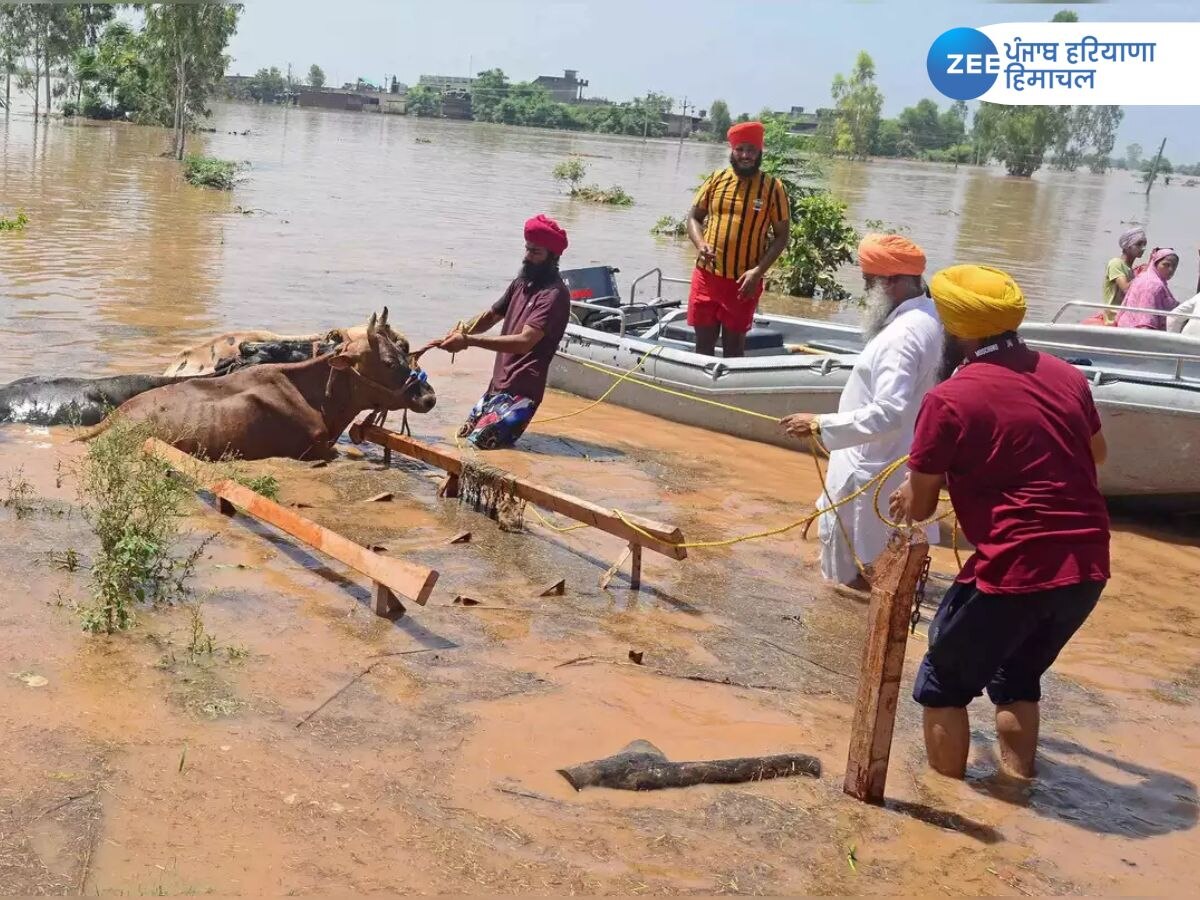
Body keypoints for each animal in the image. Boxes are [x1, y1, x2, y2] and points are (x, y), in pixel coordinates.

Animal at [75, 312, 434, 465]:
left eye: (403, 351)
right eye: (388, 361)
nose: (428, 396)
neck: (318, 398)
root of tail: (114, 419)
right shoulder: (315, 448)